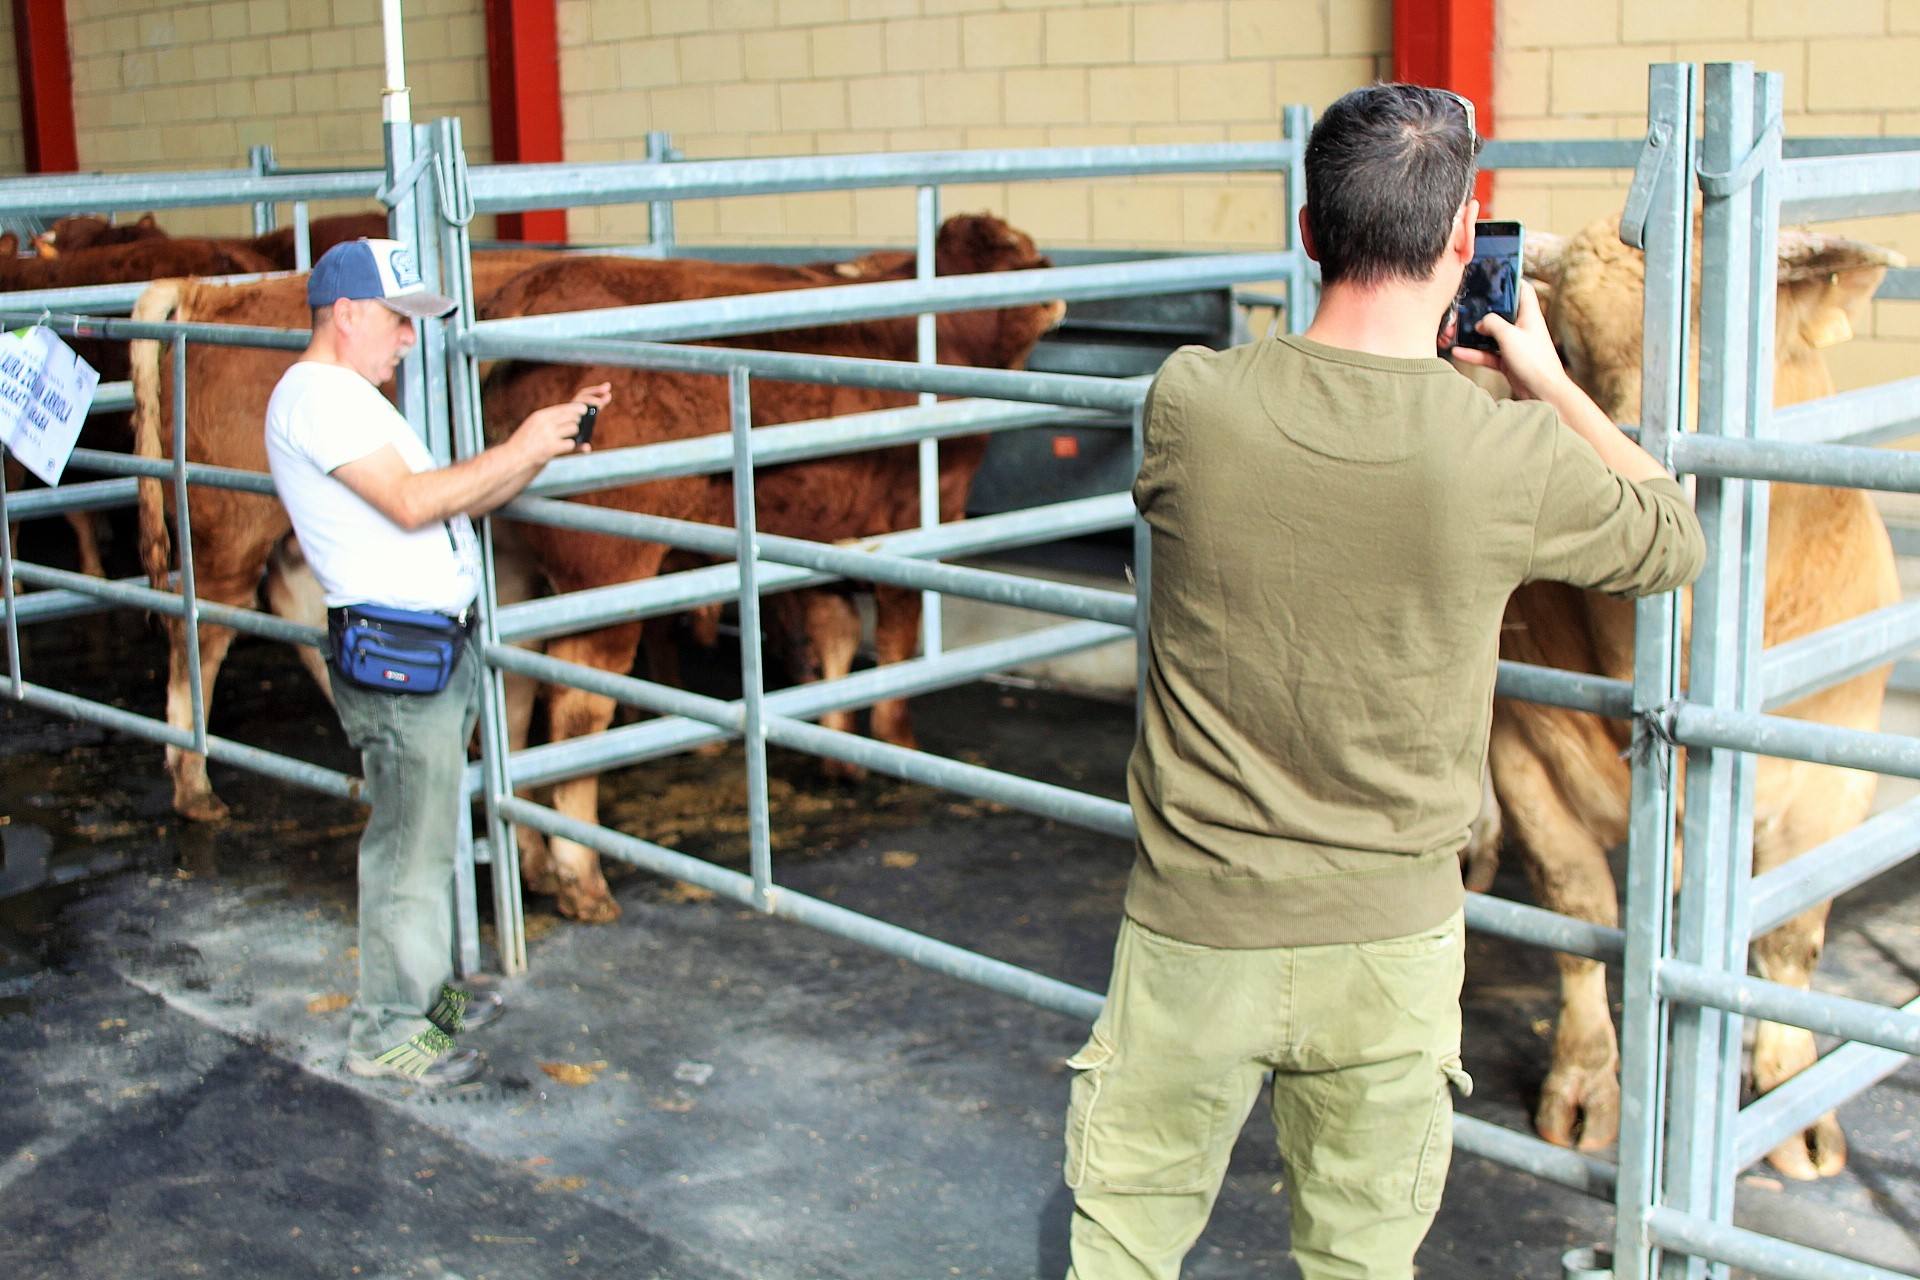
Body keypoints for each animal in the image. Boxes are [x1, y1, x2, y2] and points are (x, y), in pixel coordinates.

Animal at [472, 214, 1059, 924]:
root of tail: (525, 296)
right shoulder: (909, 526)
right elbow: (895, 644)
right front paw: (896, 745)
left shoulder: (826, 531)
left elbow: (836, 632)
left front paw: (840, 747)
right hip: (606, 574)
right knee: (575, 708)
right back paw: (580, 875)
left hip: (513, 567)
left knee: (513, 697)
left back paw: (531, 862)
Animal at [1474, 217, 1896, 1182]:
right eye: (1571, 346)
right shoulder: (1526, 754)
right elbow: (1580, 910)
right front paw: (1586, 1085)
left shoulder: (1836, 775)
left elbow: (1790, 935)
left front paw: (1790, 1097)